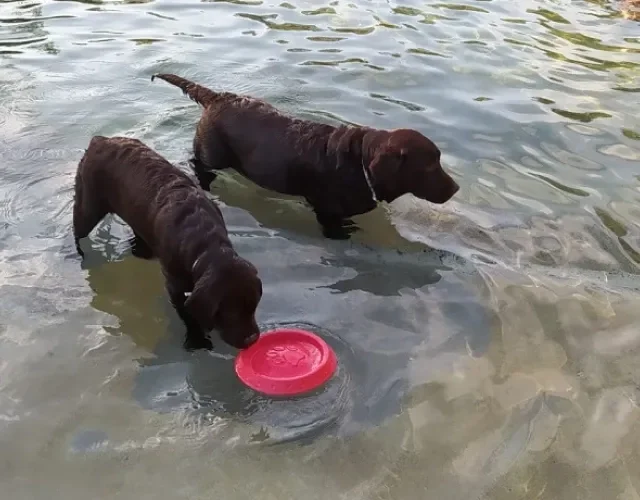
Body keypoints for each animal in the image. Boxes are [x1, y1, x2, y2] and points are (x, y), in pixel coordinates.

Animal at [74, 135, 264, 350]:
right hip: (88, 206)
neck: (203, 240)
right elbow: (186, 313)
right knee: (77, 230)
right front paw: (197, 339)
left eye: (253, 307)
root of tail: (100, 139)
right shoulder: (174, 285)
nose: (252, 339)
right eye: (230, 312)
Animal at [151, 73, 460, 240]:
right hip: (211, 153)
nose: (456, 188)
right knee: (200, 165)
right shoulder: (328, 212)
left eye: (438, 160)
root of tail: (216, 96)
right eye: (429, 166)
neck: (359, 164)